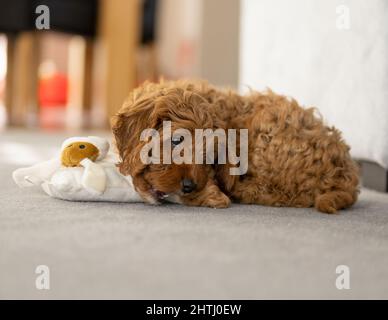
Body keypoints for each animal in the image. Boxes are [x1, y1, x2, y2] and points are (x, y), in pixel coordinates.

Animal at [112, 79, 360, 214]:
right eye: (176, 140)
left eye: (207, 157)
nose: (189, 186)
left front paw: (210, 194)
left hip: (267, 130)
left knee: (288, 195)